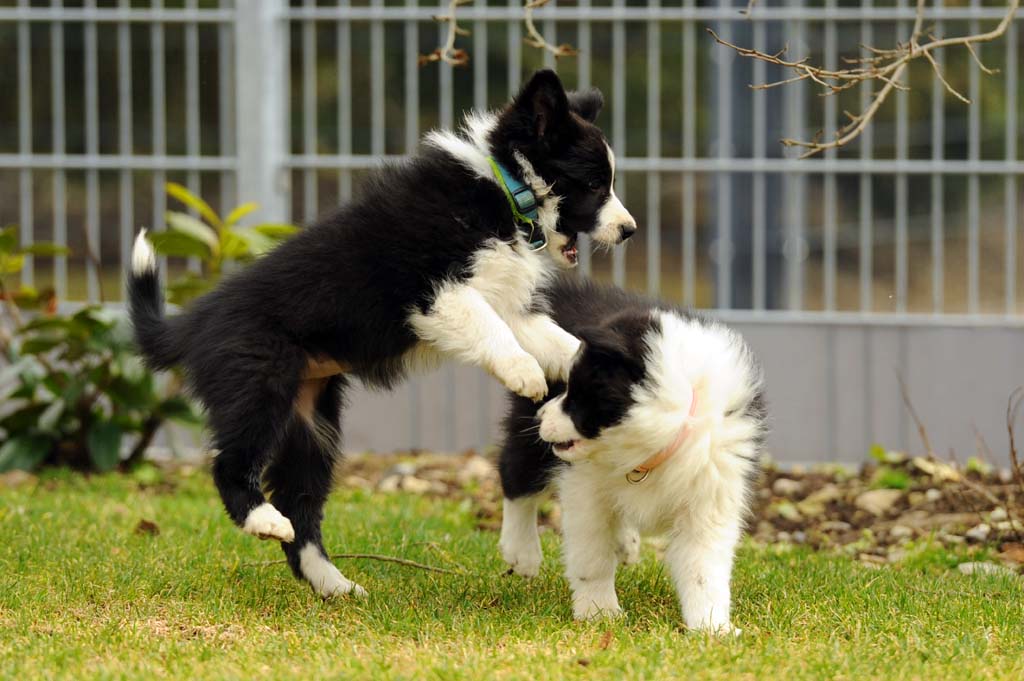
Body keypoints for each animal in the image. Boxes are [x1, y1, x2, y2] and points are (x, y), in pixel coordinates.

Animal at [491, 278, 765, 630]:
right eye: (565, 386)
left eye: (576, 396)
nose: (541, 416)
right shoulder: (584, 488)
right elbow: (592, 555)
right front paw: (599, 612)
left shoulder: (711, 493)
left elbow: (704, 569)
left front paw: (712, 627)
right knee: (516, 476)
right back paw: (521, 551)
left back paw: (623, 543)